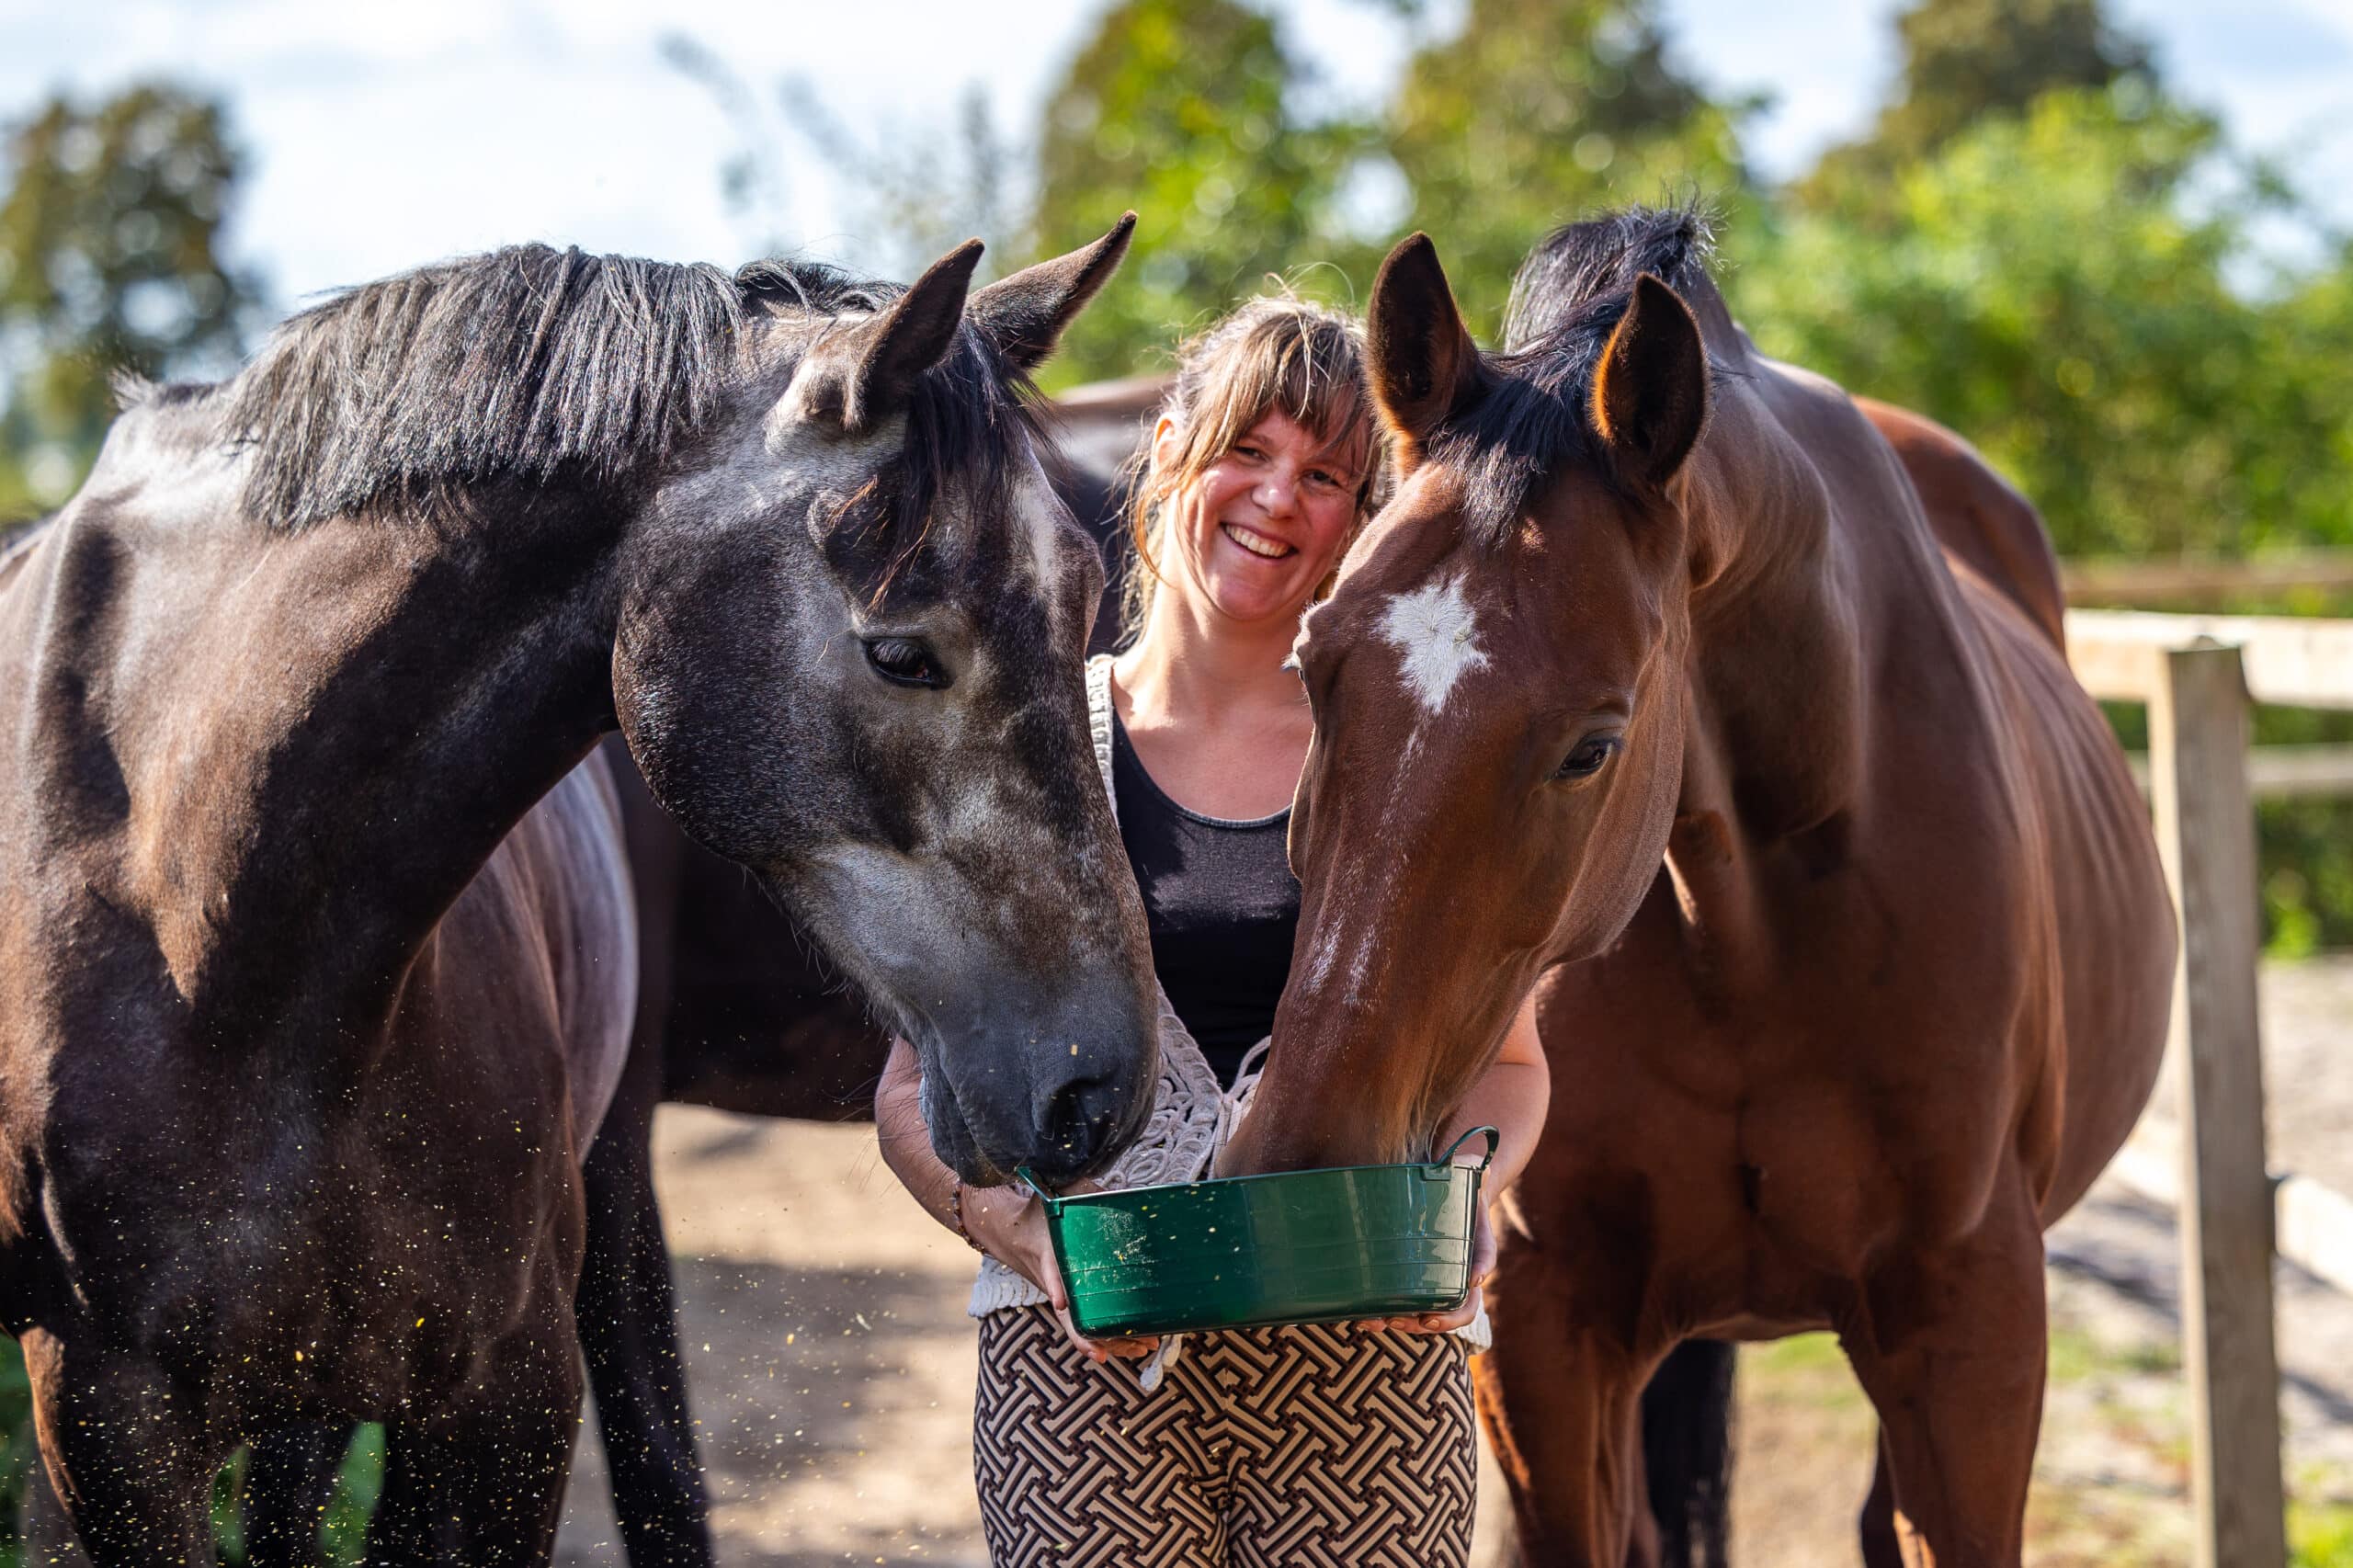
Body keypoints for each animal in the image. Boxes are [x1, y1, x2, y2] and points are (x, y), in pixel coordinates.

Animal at [0, 217, 1165, 1565]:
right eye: (902, 653)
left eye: (1090, 603)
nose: (1099, 1083)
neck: (212, 929)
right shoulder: (107, 1423)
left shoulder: (512, 1391)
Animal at [1222, 208, 2176, 1568]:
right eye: (1312, 668)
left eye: (1593, 744)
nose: (1297, 1159)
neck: (1756, 930)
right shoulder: (1548, 1323)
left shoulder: (1970, 1328)